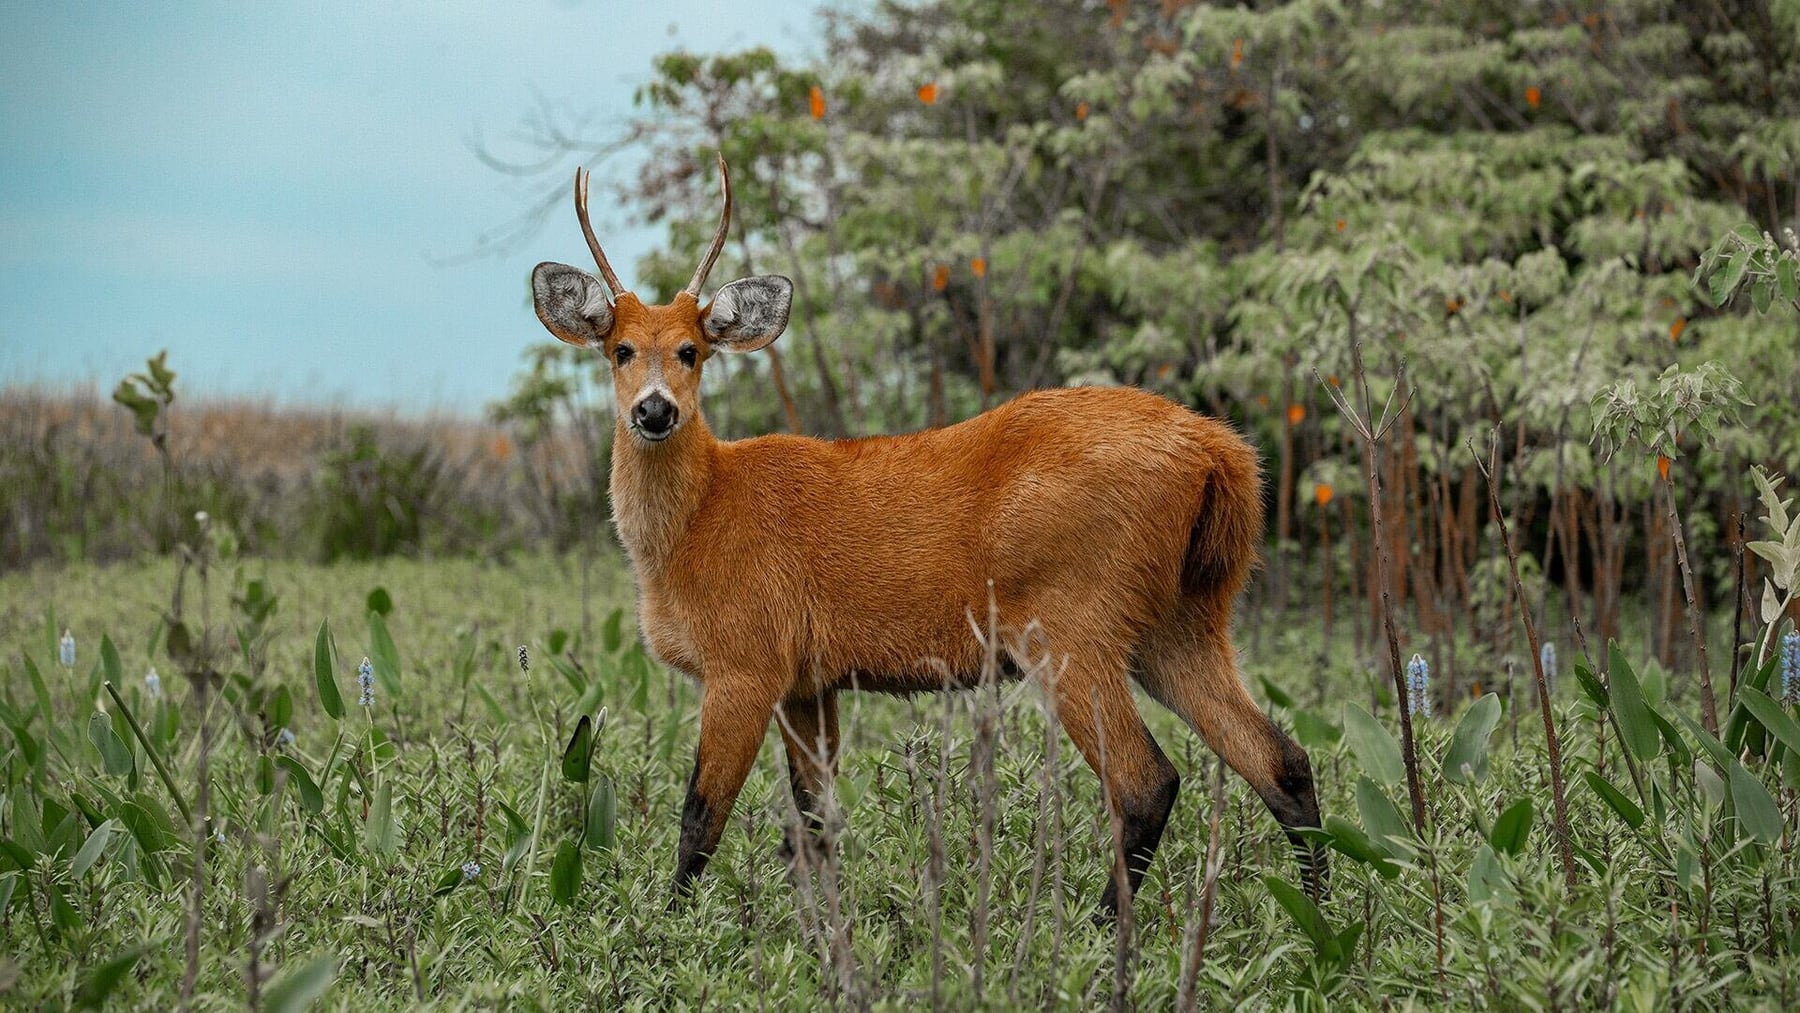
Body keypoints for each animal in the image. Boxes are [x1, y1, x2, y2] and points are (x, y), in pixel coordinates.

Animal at [527, 157, 1325, 916]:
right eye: (620, 348)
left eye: (692, 350)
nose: (655, 411)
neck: (696, 524)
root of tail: (1218, 452)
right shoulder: (805, 682)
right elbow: (814, 821)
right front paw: (822, 931)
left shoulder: (745, 662)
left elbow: (700, 815)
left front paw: (672, 928)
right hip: (1183, 620)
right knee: (1282, 759)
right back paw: (1321, 920)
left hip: (1070, 622)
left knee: (1147, 780)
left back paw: (1102, 935)